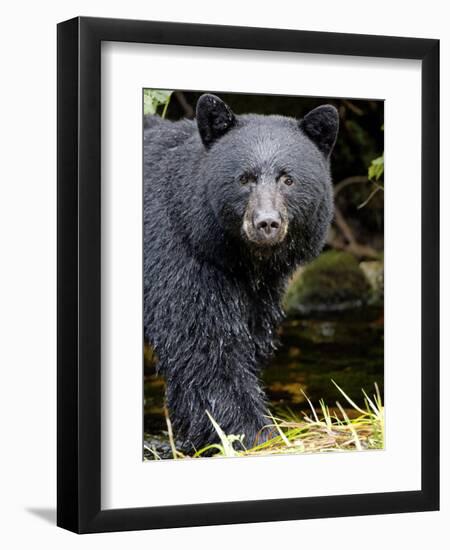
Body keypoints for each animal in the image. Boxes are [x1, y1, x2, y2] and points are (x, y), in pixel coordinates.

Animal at [144, 95, 338, 454]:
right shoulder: (180, 259)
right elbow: (203, 347)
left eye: (287, 179)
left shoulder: (255, 293)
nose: (266, 222)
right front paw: (256, 433)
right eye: (244, 178)